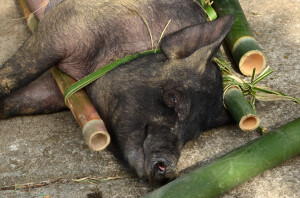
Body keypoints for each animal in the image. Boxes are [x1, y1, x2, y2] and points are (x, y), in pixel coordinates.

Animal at [0, 0, 234, 184]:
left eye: (194, 132)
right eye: (174, 97)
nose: (169, 168)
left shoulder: (60, 87)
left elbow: (20, 101)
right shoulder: (62, 24)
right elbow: (13, 75)